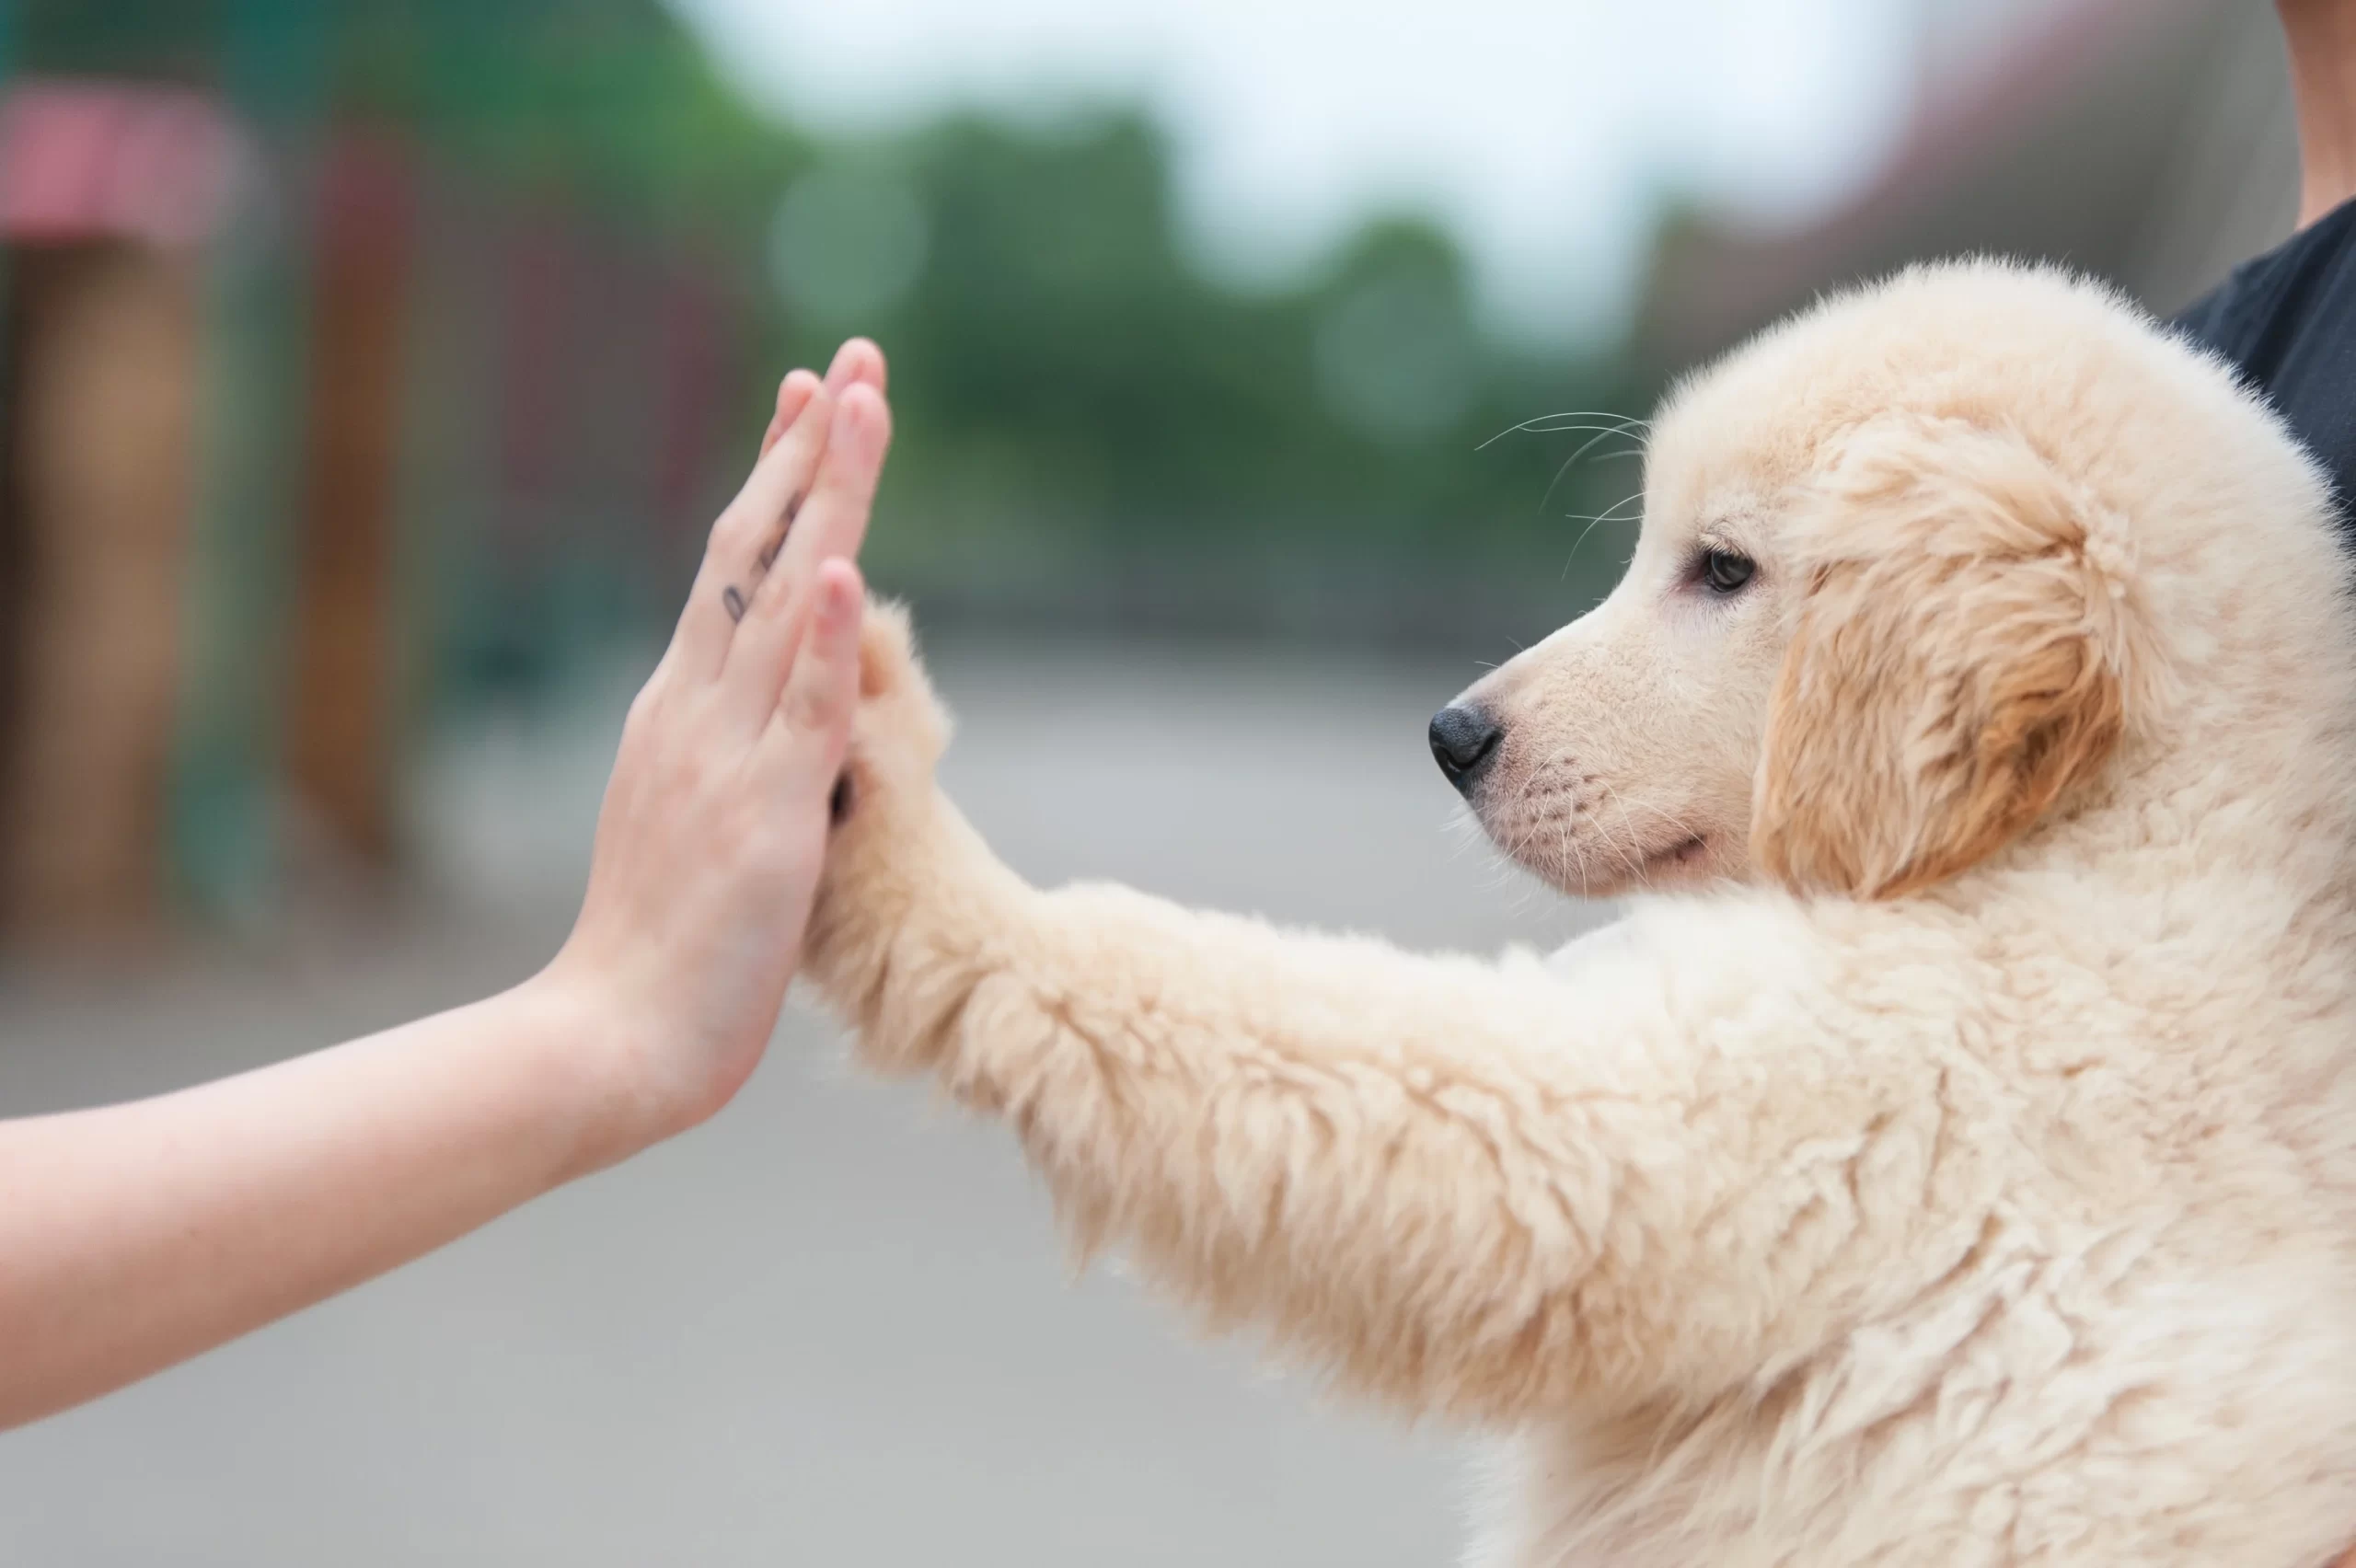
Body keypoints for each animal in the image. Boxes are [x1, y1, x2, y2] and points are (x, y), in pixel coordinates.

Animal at [801, 262, 2356, 1553]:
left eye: (1721, 569)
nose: (1451, 735)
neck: (2120, 834)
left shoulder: (1809, 1111)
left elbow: (1297, 1039)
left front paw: (898, 836)